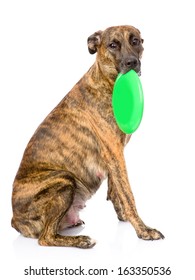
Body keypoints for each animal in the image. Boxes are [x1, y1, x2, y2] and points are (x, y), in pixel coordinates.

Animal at [11, 24, 165, 247]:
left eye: (135, 41)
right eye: (112, 45)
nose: (132, 63)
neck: (106, 82)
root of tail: (14, 220)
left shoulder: (113, 157)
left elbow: (116, 190)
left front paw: (124, 218)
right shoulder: (115, 154)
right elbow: (128, 195)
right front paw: (143, 230)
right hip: (63, 180)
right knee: (45, 238)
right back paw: (81, 241)